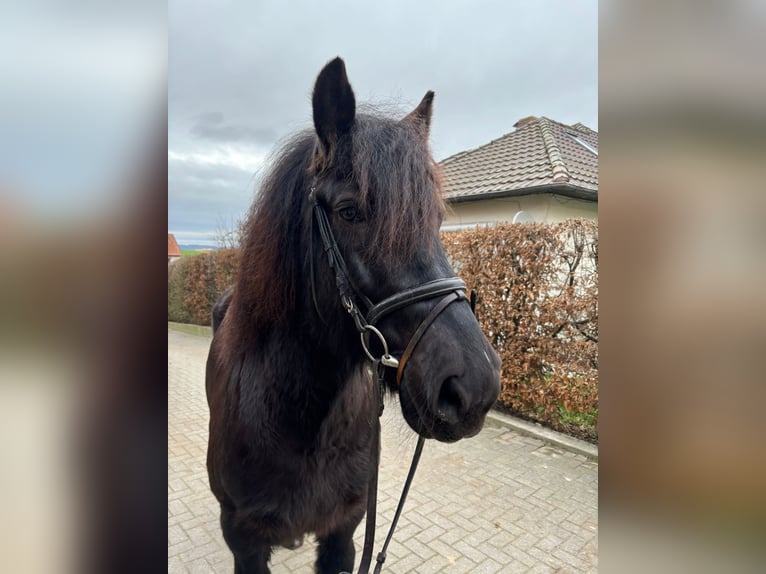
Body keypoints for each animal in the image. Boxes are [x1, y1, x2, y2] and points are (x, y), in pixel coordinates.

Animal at [206, 57, 501, 574]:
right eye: (349, 211)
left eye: (436, 220)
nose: (474, 386)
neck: (302, 419)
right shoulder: (245, 543)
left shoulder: (343, 531)